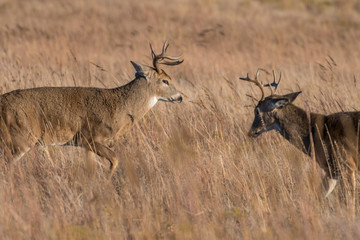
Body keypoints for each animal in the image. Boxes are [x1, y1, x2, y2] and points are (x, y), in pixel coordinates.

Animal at [0, 41, 184, 177]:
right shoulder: (88, 137)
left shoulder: (86, 144)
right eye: (165, 80)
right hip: (21, 137)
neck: (117, 108)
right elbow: (115, 159)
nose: (180, 97)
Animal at [239, 69, 360, 202]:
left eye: (257, 111)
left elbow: (349, 200)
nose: (250, 132)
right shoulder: (331, 171)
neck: (317, 133)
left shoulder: (346, 165)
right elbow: (319, 195)